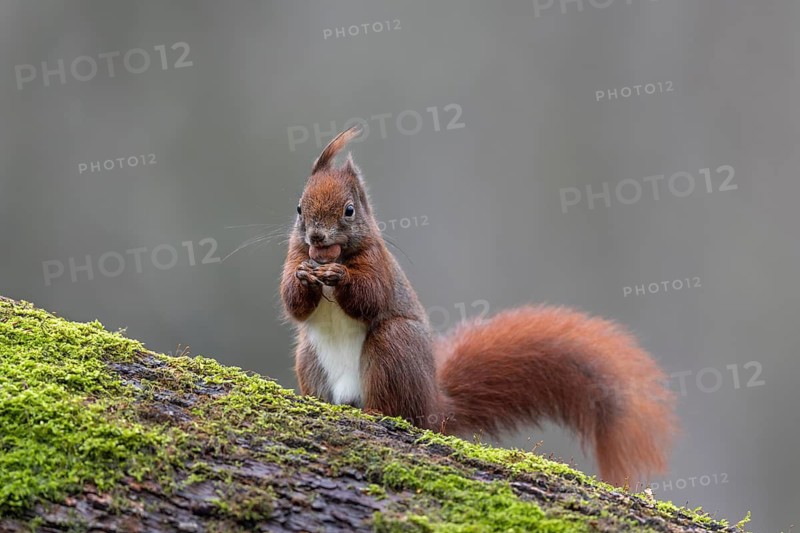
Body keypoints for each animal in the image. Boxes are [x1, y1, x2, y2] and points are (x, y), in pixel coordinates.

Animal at [280, 126, 678, 486]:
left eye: (349, 211)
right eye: (299, 208)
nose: (316, 236)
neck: (332, 255)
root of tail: (434, 407)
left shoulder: (379, 265)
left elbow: (370, 296)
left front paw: (339, 276)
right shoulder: (294, 255)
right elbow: (292, 301)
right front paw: (303, 277)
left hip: (393, 346)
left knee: (397, 407)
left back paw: (379, 412)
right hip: (308, 358)